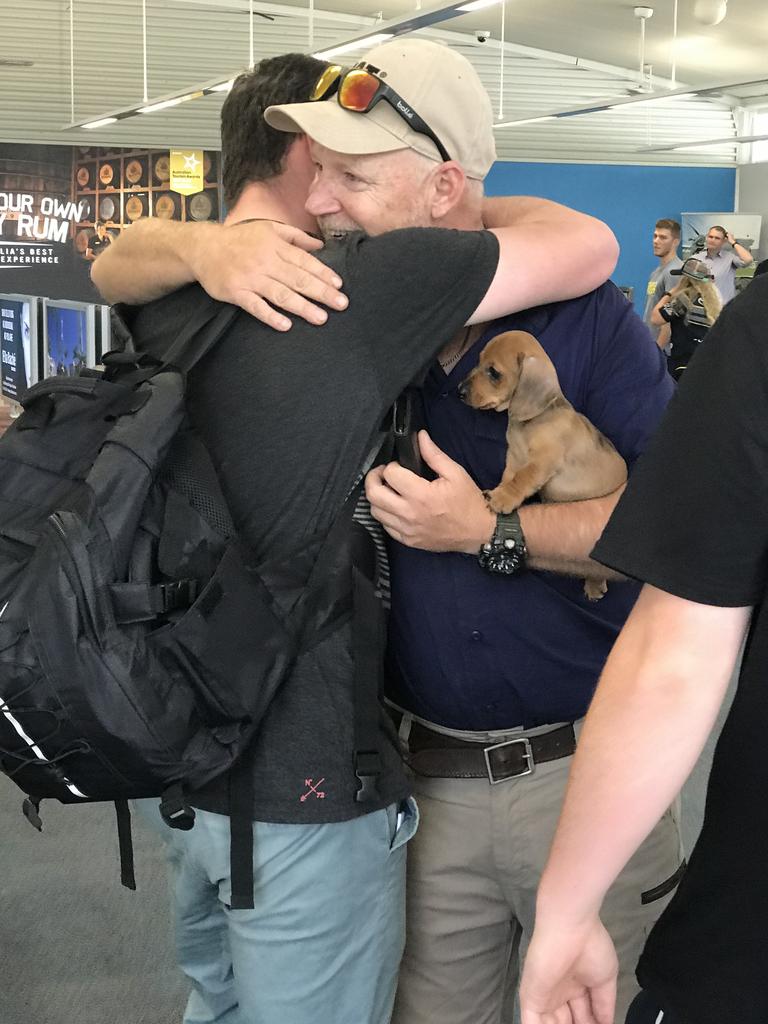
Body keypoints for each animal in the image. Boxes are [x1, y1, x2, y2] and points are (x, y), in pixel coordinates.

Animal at [460, 327, 626, 598]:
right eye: (479, 359)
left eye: (494, 372)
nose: (459, 391)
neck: (533, 421)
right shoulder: (513, 458)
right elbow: (509, 478)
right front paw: (499, 491)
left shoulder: (541, 463)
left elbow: (521, 480)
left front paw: (502, 498)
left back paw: (594, 586)